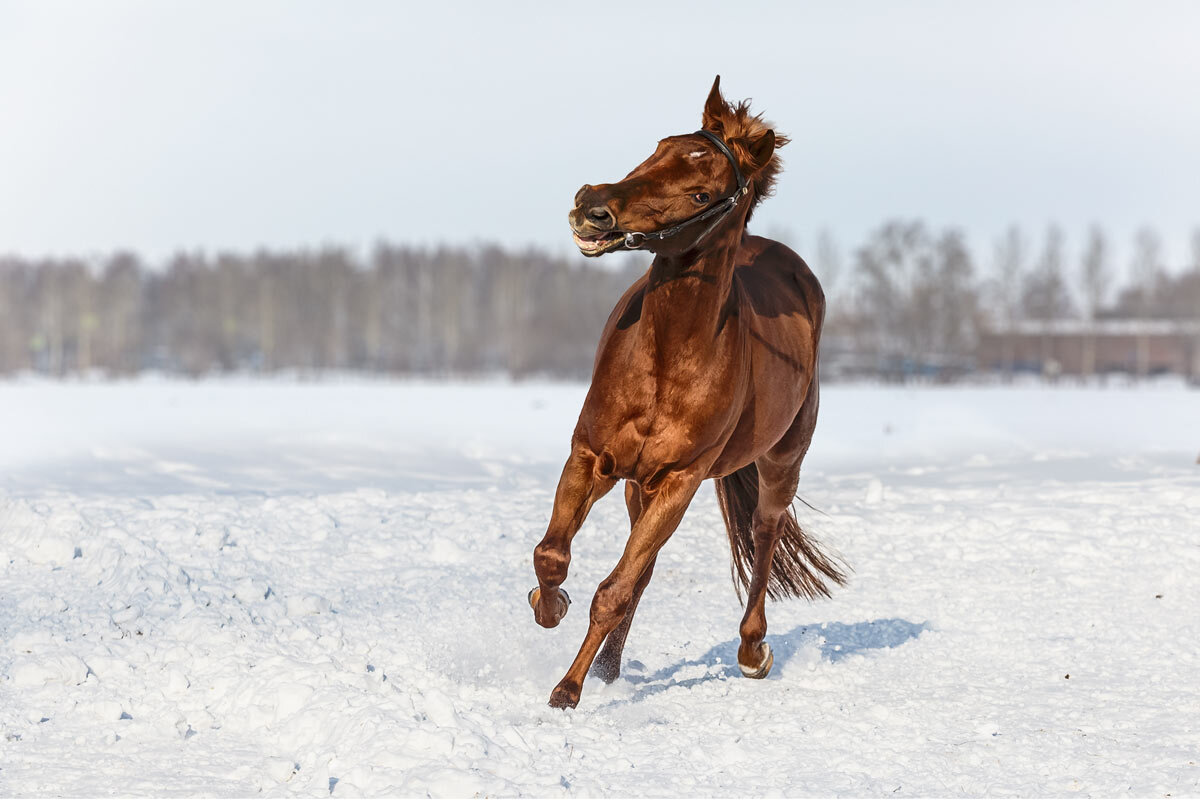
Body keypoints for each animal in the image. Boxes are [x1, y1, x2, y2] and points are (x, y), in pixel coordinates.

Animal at [525, 77, 844, 710]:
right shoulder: (591, 458)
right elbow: (553, 556)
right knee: (642, 569)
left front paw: (567, 691)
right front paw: (551, 610)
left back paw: (751, 651)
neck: (667, 359)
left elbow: (613, 590)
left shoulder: (680, 480)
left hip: (780, 463)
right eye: (658, 148)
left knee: (763, 534)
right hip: (637, 486)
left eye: (702, 194)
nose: (593, 205)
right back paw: (611, 667)